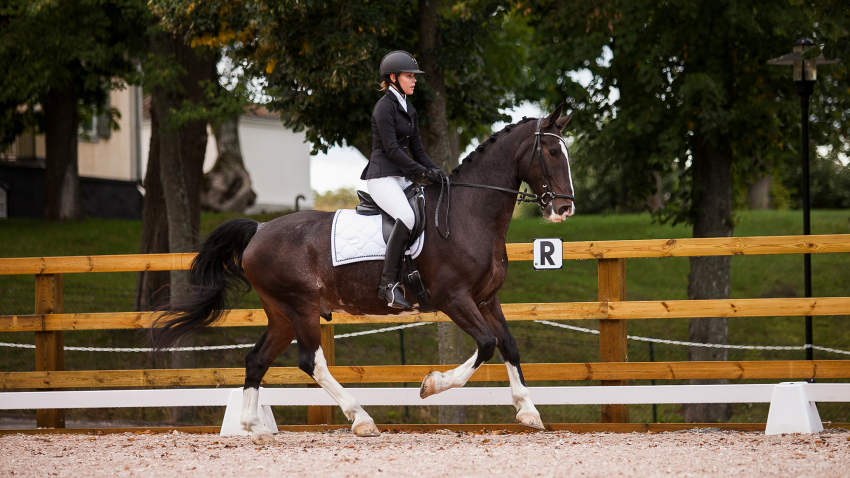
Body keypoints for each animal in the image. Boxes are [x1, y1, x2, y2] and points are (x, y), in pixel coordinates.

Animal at [155, 104, 572, 444]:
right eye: (552, 152)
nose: (565, 208)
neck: (469, 214)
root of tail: (259, 230)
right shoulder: (454, 298)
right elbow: (486, 344)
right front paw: (430, 385)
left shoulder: (487, 299)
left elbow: (508, 345)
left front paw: (529, 412)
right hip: (301, 306)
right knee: (311, 361)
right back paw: (361, 418)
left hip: (281, 313)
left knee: (257, 360)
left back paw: (253, 428)